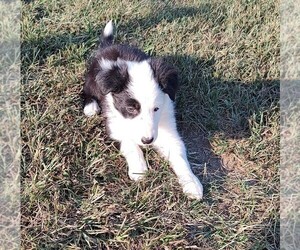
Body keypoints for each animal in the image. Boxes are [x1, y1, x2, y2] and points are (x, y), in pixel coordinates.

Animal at [83, 21, 203, 199]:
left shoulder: (167, 127)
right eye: (131, 108)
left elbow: (179, 155)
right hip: (92, 79)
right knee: (86, 89)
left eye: (156, 109)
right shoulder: (114, 123)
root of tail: (108, 46)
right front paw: (139, 168)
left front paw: (191, 182)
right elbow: (129, 142)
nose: (147, 141)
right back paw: (90, 105)